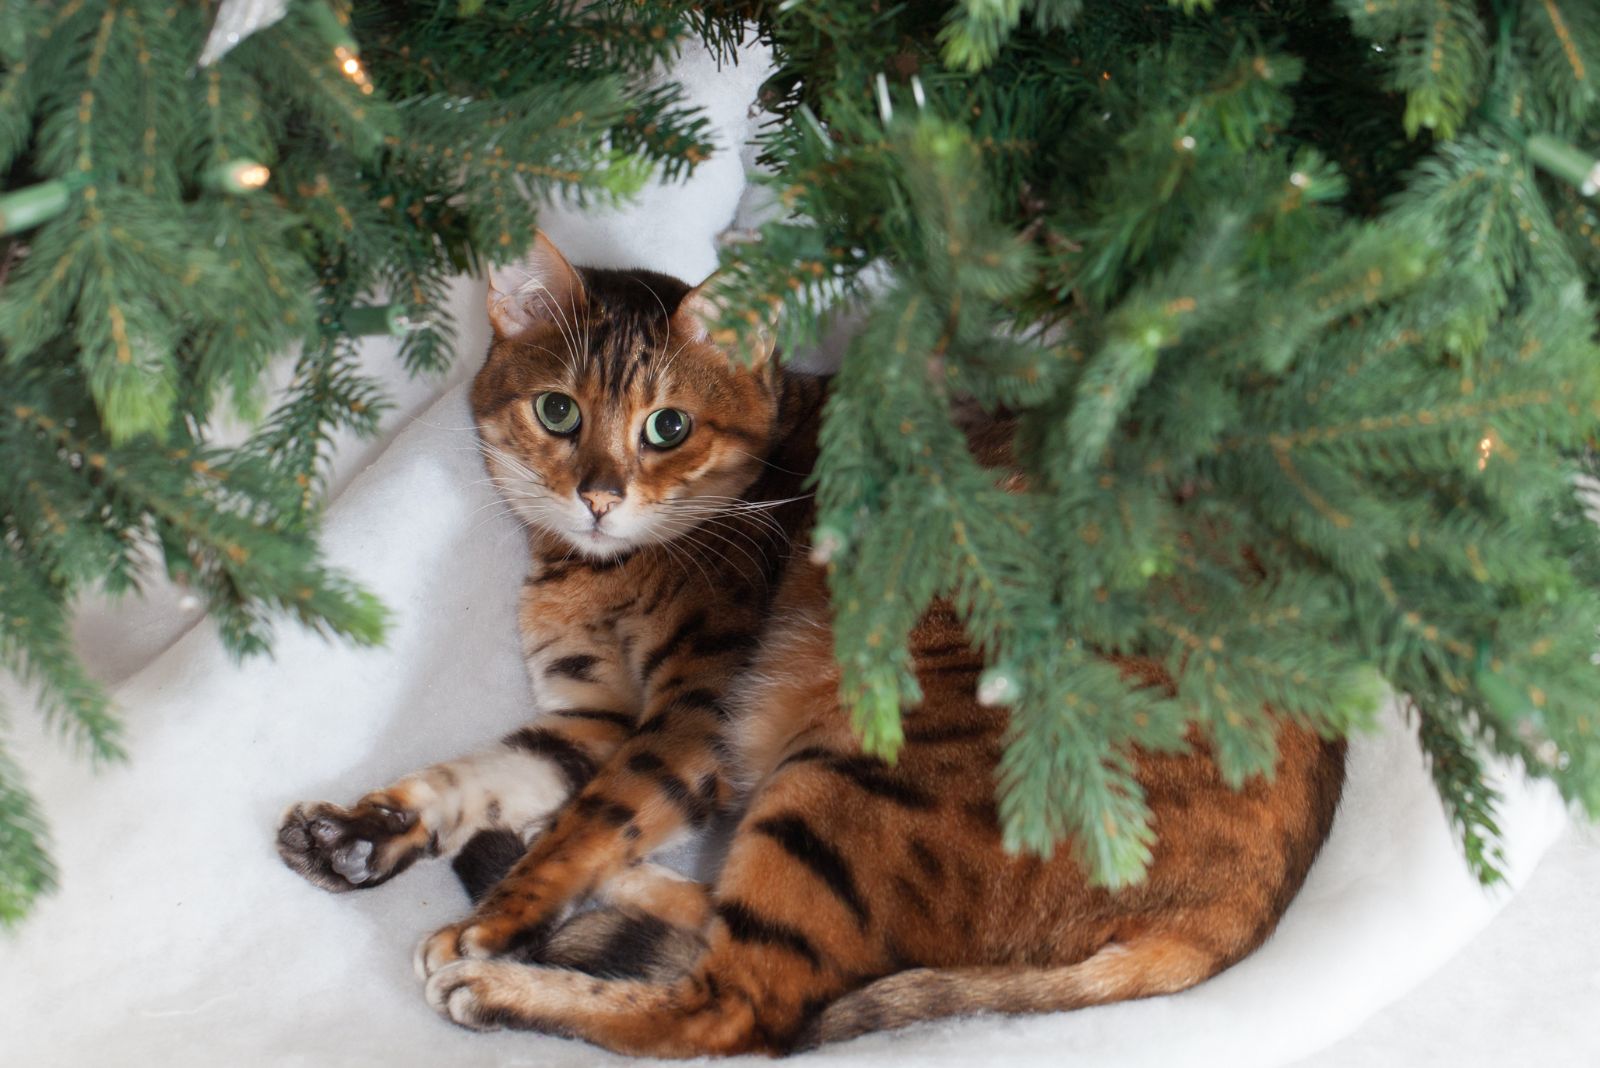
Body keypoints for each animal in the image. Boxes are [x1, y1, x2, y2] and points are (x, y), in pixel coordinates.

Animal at [281, 230, 1344, 1055]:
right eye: (557, 411)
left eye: (667, 427)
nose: (598, 496)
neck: (591, 571)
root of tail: (1241, 916)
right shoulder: (592, 719)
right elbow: (477, 775)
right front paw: (365, 831)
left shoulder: (684, 722)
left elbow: (587, 822)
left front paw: (490, 926)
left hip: (849, 774)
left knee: (739, 1011)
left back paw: (506, 984)